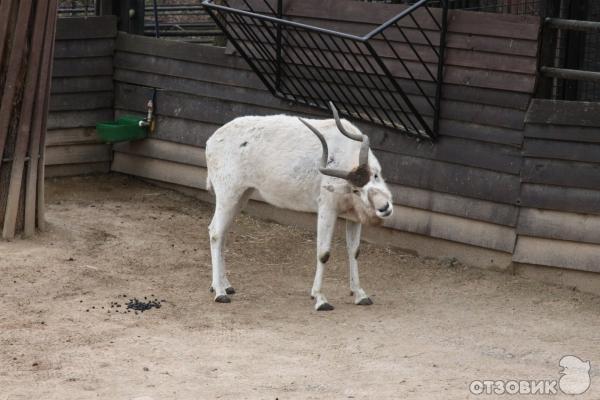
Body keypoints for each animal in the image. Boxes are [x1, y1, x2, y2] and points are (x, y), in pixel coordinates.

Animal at [206, 102, 394, 310]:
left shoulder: (353, 217)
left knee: (222, 233)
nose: (384, 207)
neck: (343, 153)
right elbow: (323, 253)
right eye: (356, 190)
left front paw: (360, 294)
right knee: (216, 233)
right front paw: (320, 299)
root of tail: (212, 141)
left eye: (375, 175)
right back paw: (220, 292)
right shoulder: (327, 209)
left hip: (241, 196)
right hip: (228, 195)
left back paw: (225, 285)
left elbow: (354, 251)